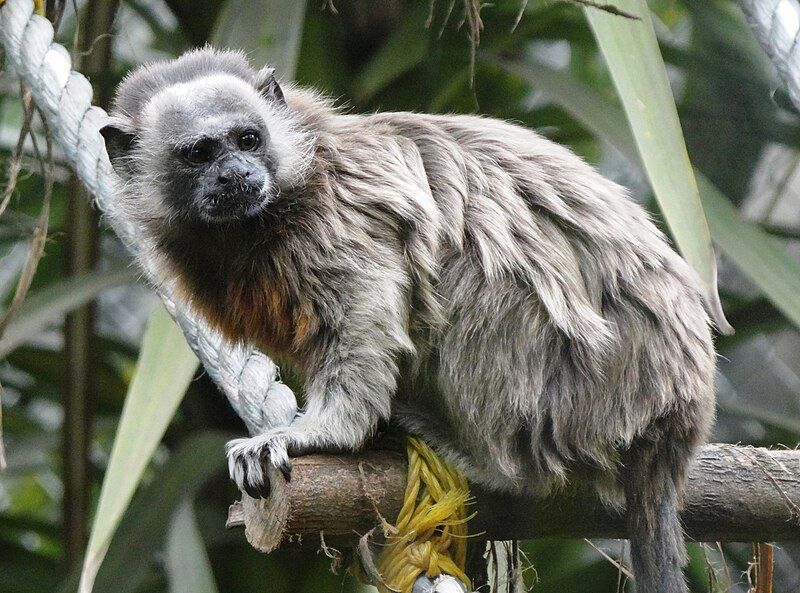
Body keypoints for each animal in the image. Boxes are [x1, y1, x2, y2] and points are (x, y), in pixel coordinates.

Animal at [101, 48, 720, 588]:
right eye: (199, 154)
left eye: (247, 139)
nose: (237, 173)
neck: (268, 216)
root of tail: (677, 414)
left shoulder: (338, 220)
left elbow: (366, 307)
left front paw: (323, 433)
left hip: (578, 394)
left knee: (479, 271)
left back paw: (490, 464)